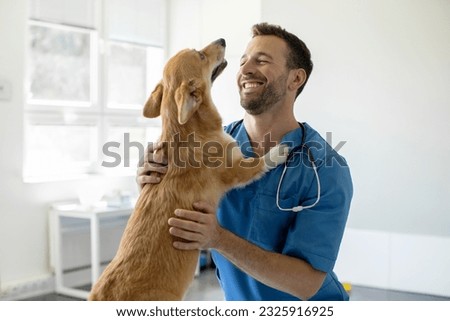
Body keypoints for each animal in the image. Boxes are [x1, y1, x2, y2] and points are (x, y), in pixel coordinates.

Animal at [89, 38, 288, 300]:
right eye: (200, 56)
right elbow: (260, 161)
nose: (222, 40)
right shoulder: (237, 170)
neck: (185, 130)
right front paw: (279, 151)